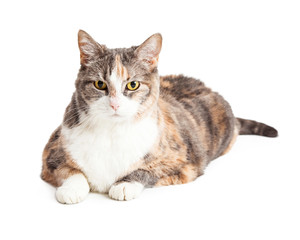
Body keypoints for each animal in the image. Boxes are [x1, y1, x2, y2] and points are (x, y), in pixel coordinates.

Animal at [41, 29, 278, 203]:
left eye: (133, 85)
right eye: (99, 84)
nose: (115, 104)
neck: (111, 132)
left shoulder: (183, 164)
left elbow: (146, 172)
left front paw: (124, 184)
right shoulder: (52, 151)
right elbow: (70, 170)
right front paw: (72, 189)